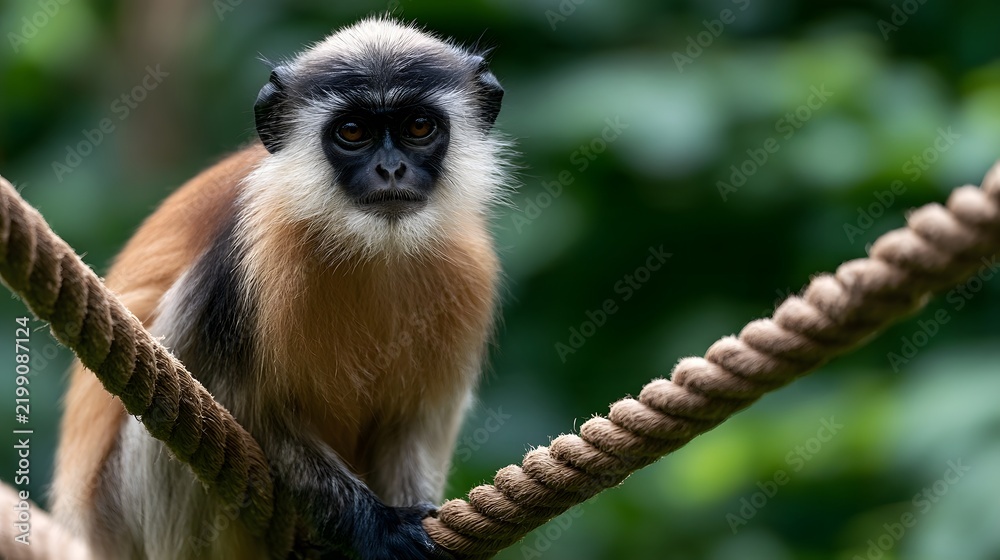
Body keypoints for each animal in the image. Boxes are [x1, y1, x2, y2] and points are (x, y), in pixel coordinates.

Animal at [50, 17, 509, 560]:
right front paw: (379, 527)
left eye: (419, 127)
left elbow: (411, 422)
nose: (391, 169)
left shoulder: (471, 267)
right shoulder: (249, 253)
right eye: (353, 132)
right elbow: (248, 411)